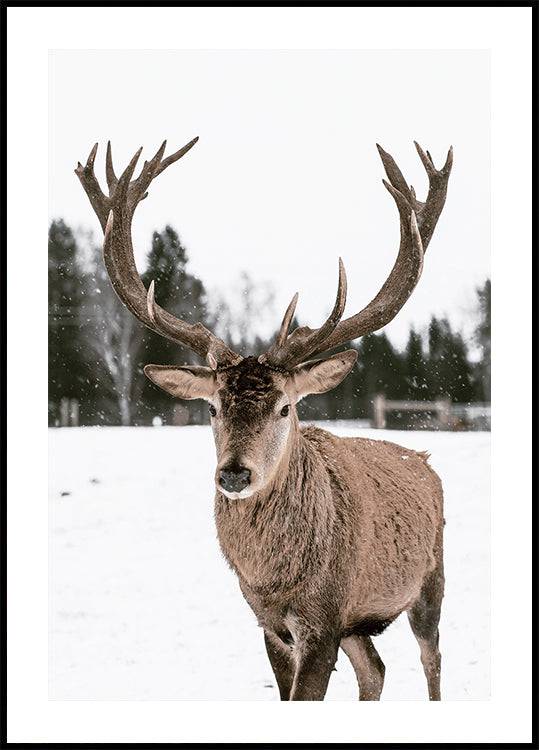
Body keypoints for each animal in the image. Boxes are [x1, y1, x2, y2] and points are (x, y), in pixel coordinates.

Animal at [76, 137, 454, 704]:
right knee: (376, 669)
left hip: (431, 579)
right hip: (358, 623)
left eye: (285, 407)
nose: (234, 473)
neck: (277, 581)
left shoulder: (323, 620)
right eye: (212, 407)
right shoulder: (271, 624)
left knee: (431, 661)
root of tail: (426, 461)